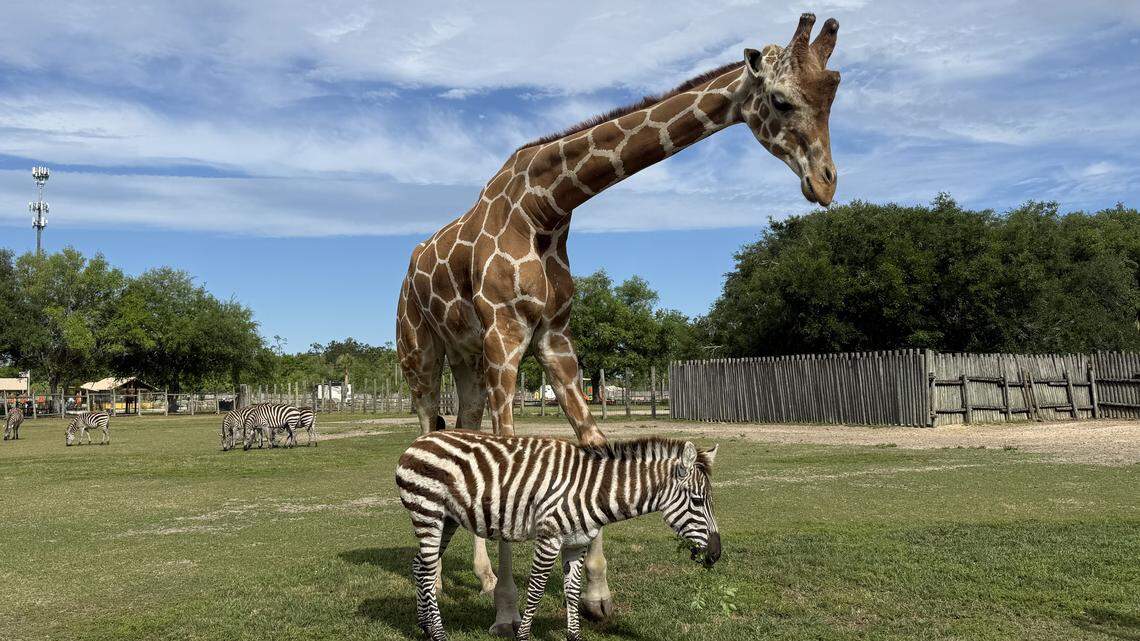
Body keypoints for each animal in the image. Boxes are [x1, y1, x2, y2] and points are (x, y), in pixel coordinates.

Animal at [396, 432, 721, 641]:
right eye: (697, 501)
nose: (716, 554)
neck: (592, 491)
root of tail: (418, 441)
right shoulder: (549, 539)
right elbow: (537, 589)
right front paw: (523, 636)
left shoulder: (576, 544)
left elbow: (572, 591)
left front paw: (574, 635)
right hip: (428, 513)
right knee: (427, 570)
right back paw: (439, 633)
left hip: (446, 520)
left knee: (419, 566)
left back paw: (425, 627)